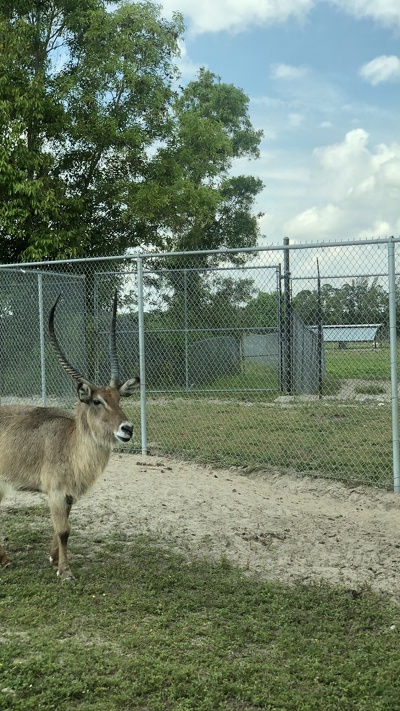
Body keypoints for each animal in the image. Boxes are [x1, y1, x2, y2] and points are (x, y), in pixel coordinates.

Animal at [0, 292, 139, 580]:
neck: (71, 444)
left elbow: (62, 527)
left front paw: (53, 557)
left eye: (119, 398)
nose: (127, 429)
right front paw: (65, 572)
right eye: (97, 401)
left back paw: (4, 560)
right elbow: (64, 530)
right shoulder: (55, 491)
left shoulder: (69, 494)